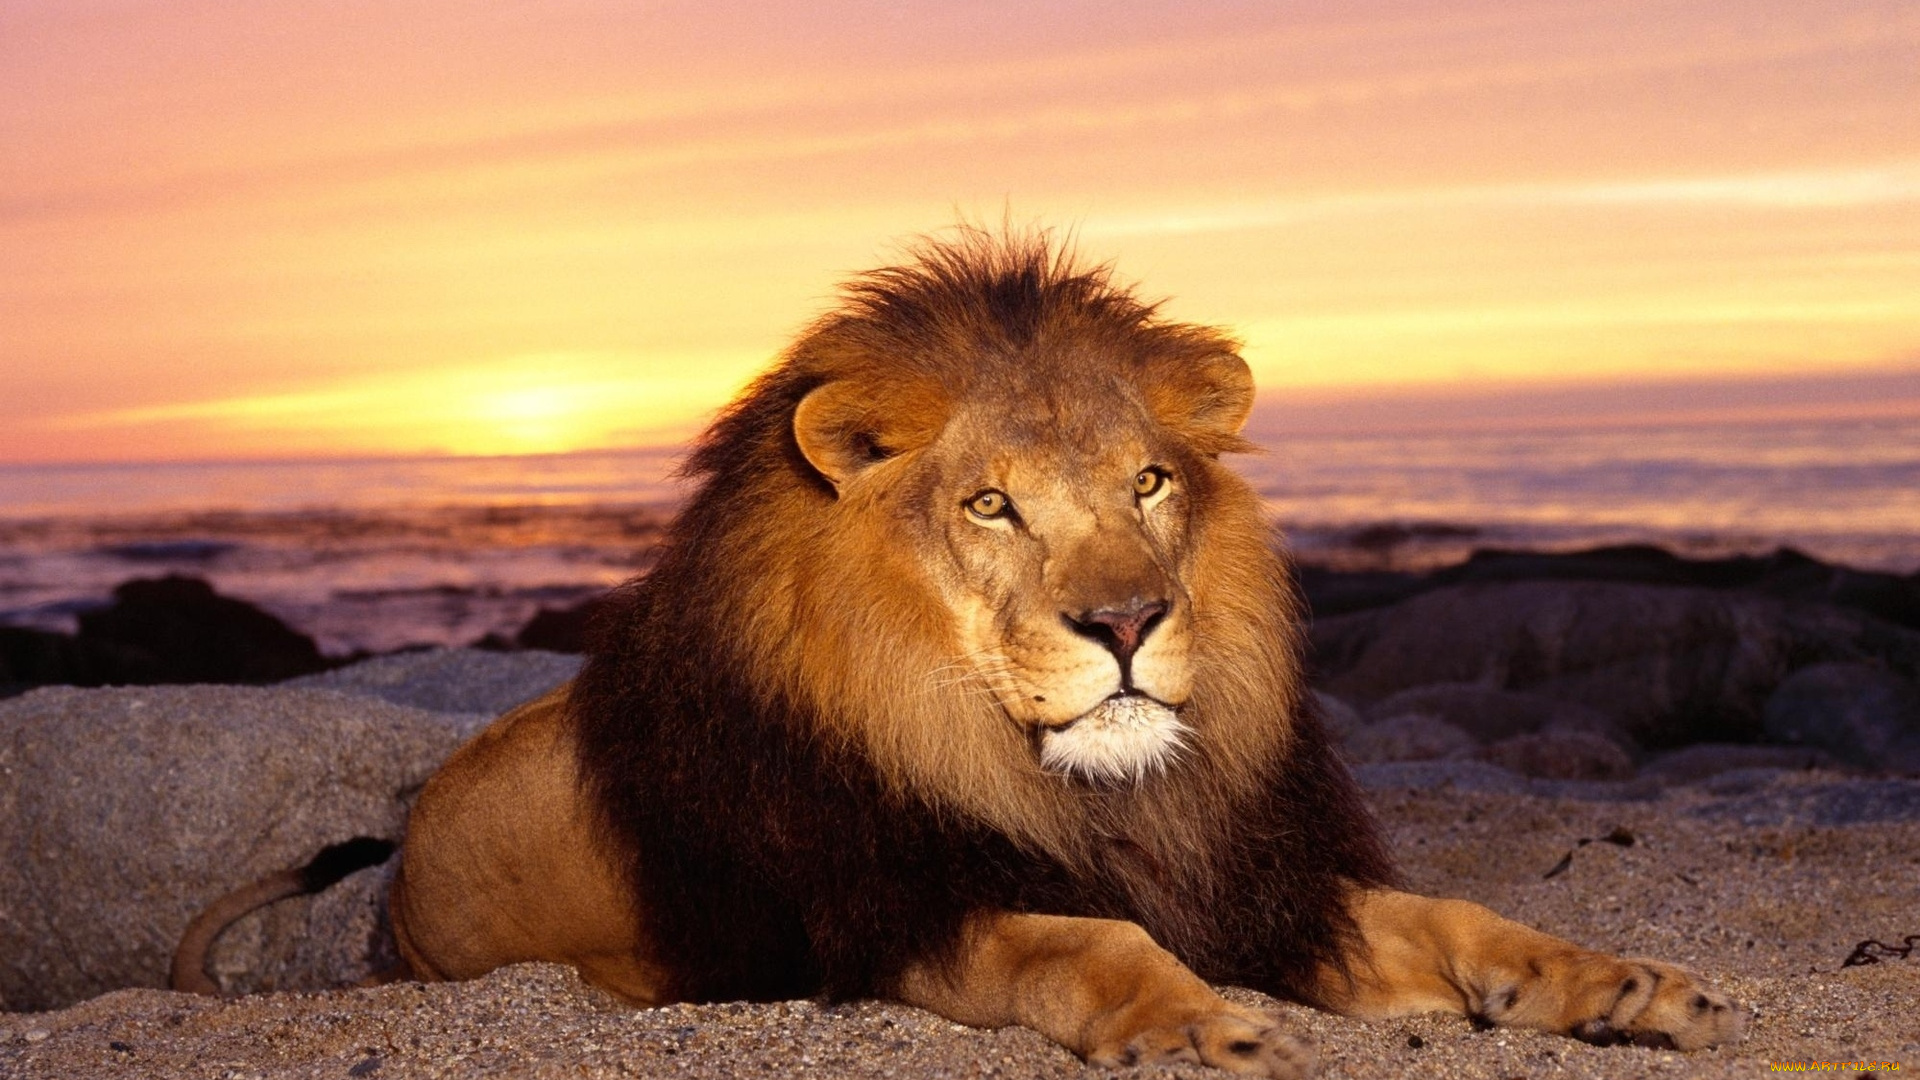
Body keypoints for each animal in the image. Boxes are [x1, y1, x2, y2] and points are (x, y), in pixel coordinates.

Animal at [177, 231, 1744, 1076]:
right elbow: (1086, 940)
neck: (1080, 789)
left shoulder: (1257, 879)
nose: (1126, 624)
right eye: (993, 505)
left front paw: (1623, 985)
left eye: (1148, 485)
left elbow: (1464, 920)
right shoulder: (895, 913)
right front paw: (1209, 1029)